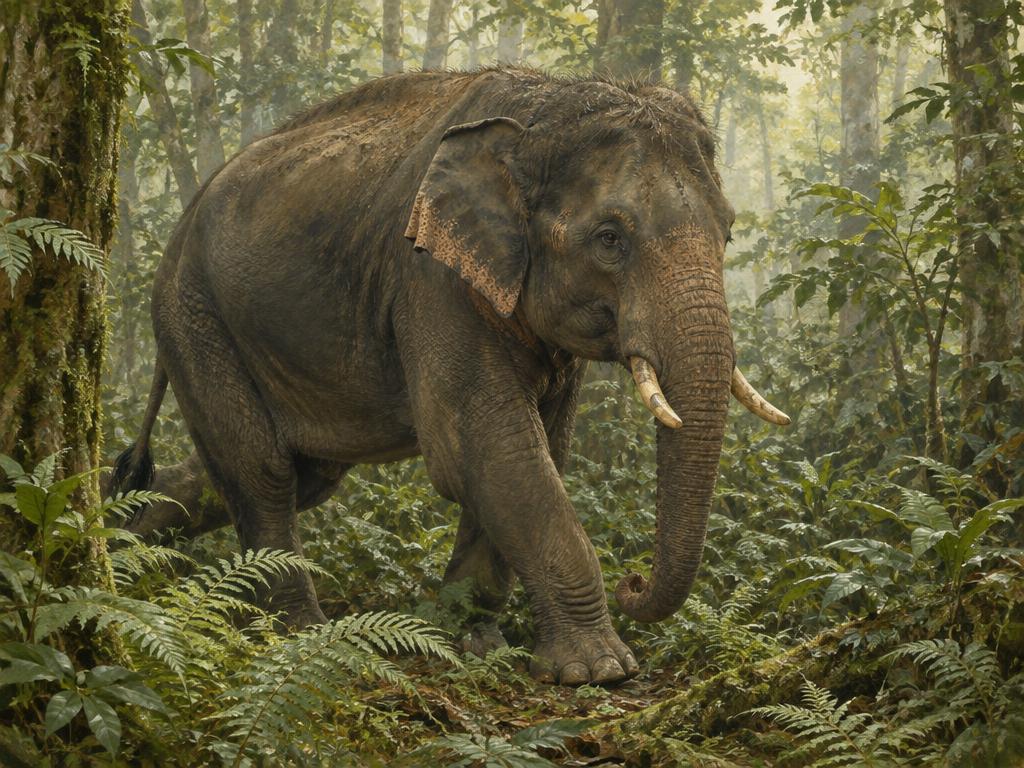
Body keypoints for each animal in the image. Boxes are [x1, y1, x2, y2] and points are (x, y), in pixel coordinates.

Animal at [112, 68, 790, 686]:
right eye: (608, 238)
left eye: (729, 231)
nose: (635, 580)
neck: (544, 106)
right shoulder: (428, 276)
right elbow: (484, 444)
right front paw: (600, 669)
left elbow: (537, 449)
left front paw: (473, 640)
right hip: (193, 315)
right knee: (264, 470)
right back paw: (298, 633)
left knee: (292, 476)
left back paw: (118, 533)